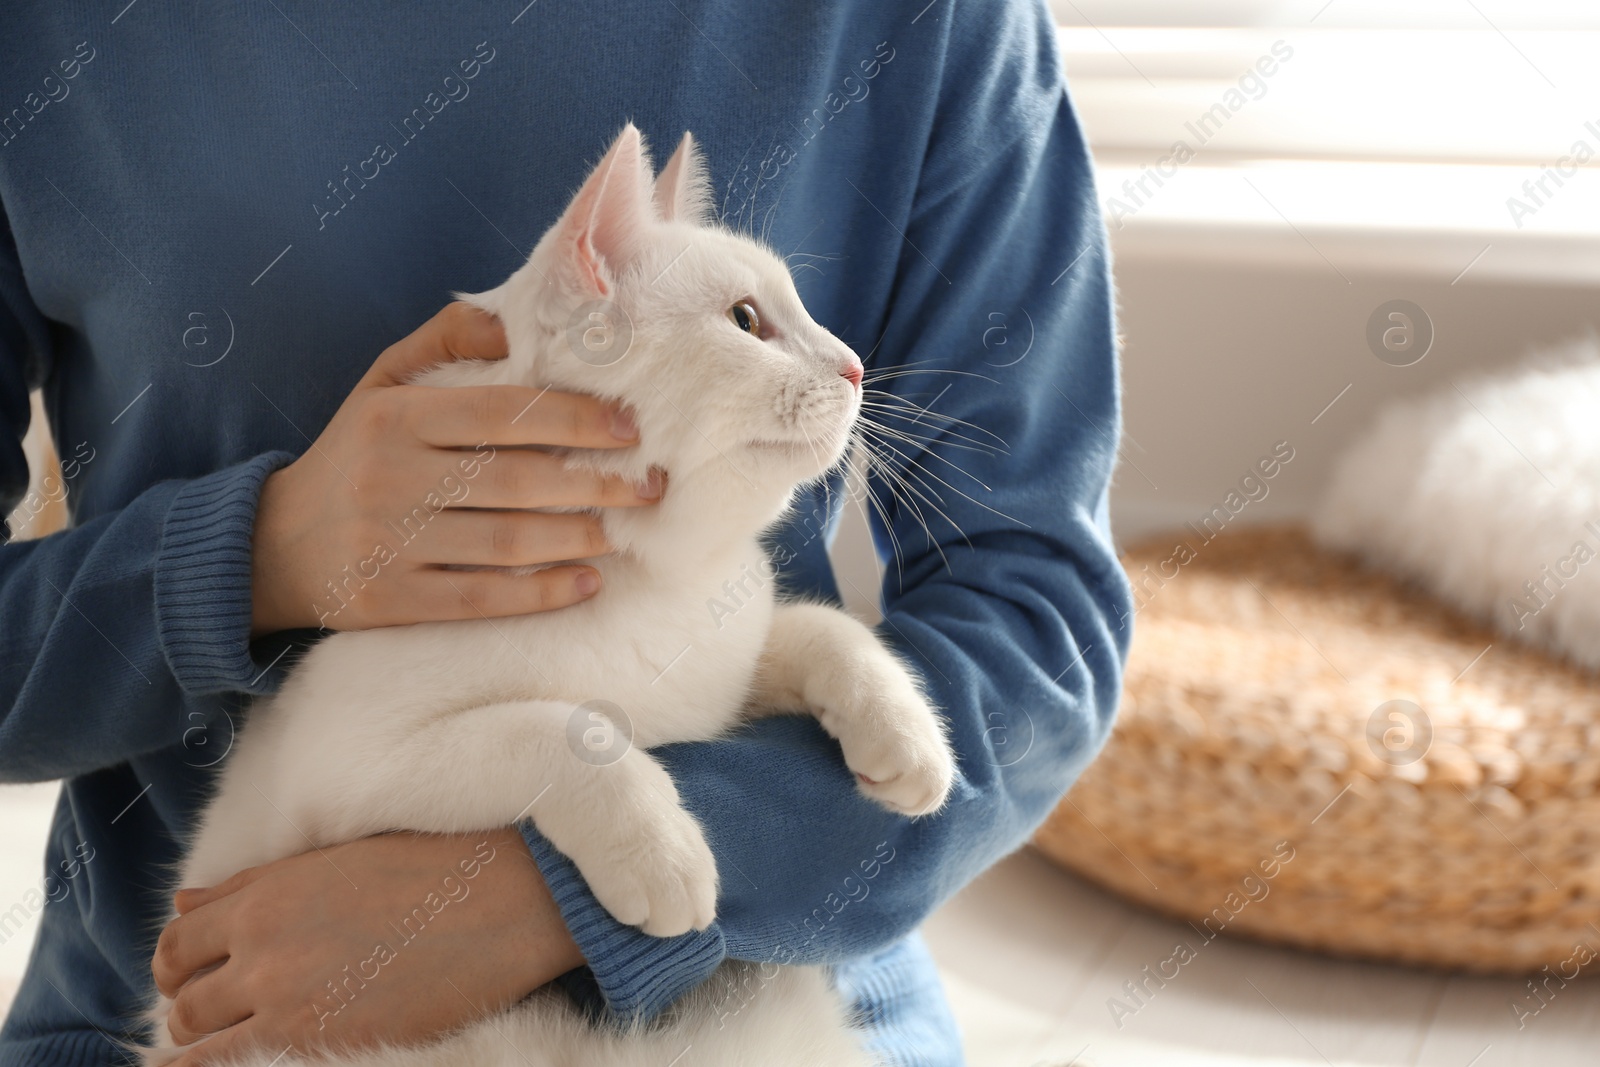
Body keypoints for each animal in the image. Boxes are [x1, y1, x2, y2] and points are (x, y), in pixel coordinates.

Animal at [140, 127, 947, 1067]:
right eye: (748, 320)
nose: (855, 365)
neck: (657, 588)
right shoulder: (344, 769)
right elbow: (563, 727)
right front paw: (660, 849)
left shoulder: (726, 669)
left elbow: (824, 628)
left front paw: (906, 733)